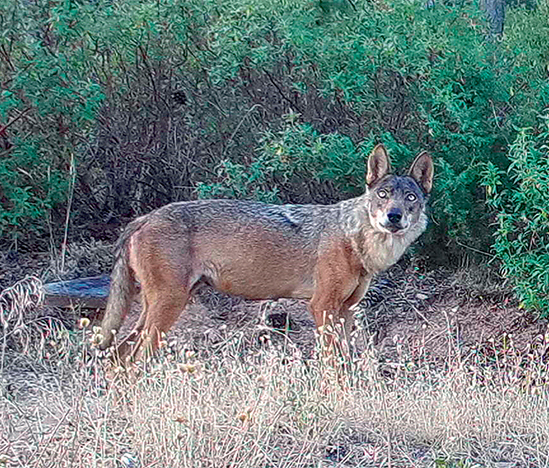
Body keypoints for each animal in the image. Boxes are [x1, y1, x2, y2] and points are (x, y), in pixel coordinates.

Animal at [97, 144, 432, 360]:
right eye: (383, 195)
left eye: (410, 198)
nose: (393, 216)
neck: (355, 239)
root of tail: (142, 218)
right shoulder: (322, 306)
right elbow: (332, 362)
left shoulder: (347, 310)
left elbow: (346, 359)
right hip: (168, 306)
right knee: (133, 356)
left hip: (160, 307)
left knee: (119, 355)